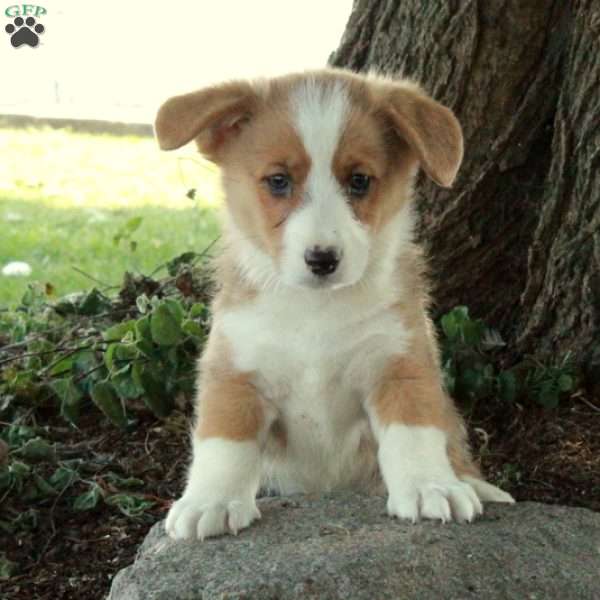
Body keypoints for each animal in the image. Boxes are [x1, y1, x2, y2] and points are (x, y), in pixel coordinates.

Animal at [155, 69, 516, 540]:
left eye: (359, 180)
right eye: (278, 181)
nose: (322, 259)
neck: (316, 309)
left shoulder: (400, 366)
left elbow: (414, 432)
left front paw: (430, 487)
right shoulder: (235, 373)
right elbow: (223, 442)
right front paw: (208, 501)